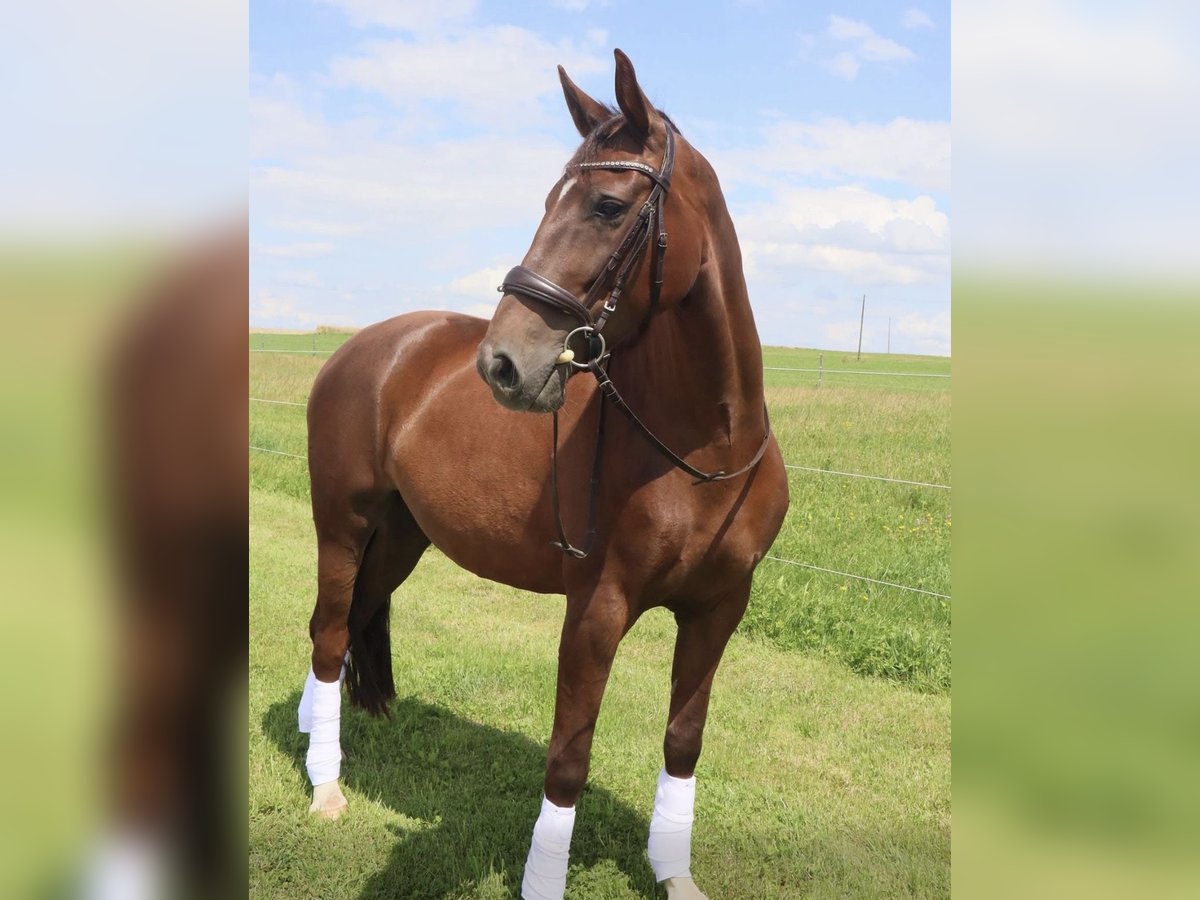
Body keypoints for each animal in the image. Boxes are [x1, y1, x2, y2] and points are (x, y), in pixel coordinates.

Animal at [297, 49, 789, 900]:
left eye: (607, 204)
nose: (502, 363)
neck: (707, 456)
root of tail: (362, 348)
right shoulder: (596, 610)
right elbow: (567, 761)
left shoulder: (719, 608)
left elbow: (683, 740)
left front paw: (674, 873)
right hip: (344, 525)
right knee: (329, 633)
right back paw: (325, 785)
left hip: (402, 537)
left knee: (352, 618)